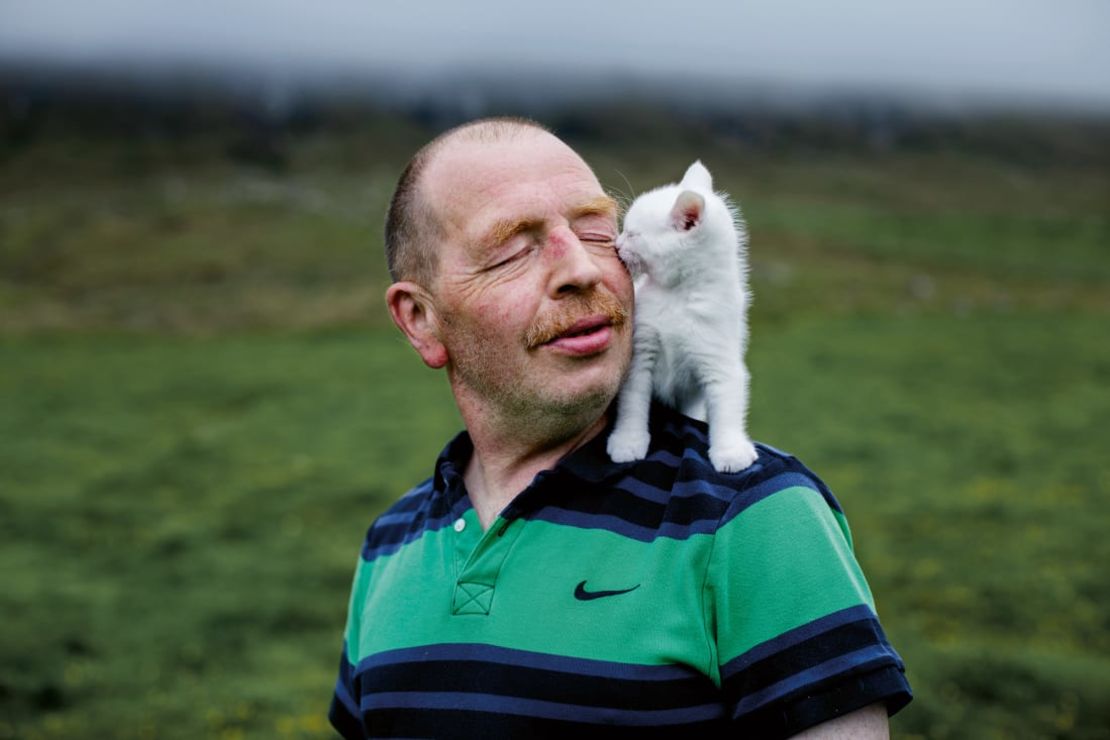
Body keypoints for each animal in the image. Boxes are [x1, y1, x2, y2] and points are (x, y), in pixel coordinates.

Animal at [603, 163, 759, 474]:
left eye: (633, 234)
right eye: (625, 231)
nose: (616, 243)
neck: (677, 293)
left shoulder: (718, 358)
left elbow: (727, 404)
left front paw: (730, 449)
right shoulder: (641, 352)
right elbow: (633, 402)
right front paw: (628, 440)